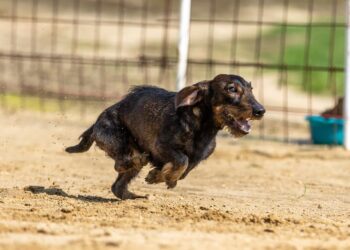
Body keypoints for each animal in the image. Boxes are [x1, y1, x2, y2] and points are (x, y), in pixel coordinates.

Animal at [66, 73, 266, 199]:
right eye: (231, 89)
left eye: (251, 89)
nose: (260, 111)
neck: (201, 127)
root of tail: (96, 124)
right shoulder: (161, 146)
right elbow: (182, 160)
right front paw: (156, 176)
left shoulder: (200, 157)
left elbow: (184, 171)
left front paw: (160, 176)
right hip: (117, 140)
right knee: (122, 163)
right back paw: (137, 163)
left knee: (118, 186)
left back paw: (136, 197)